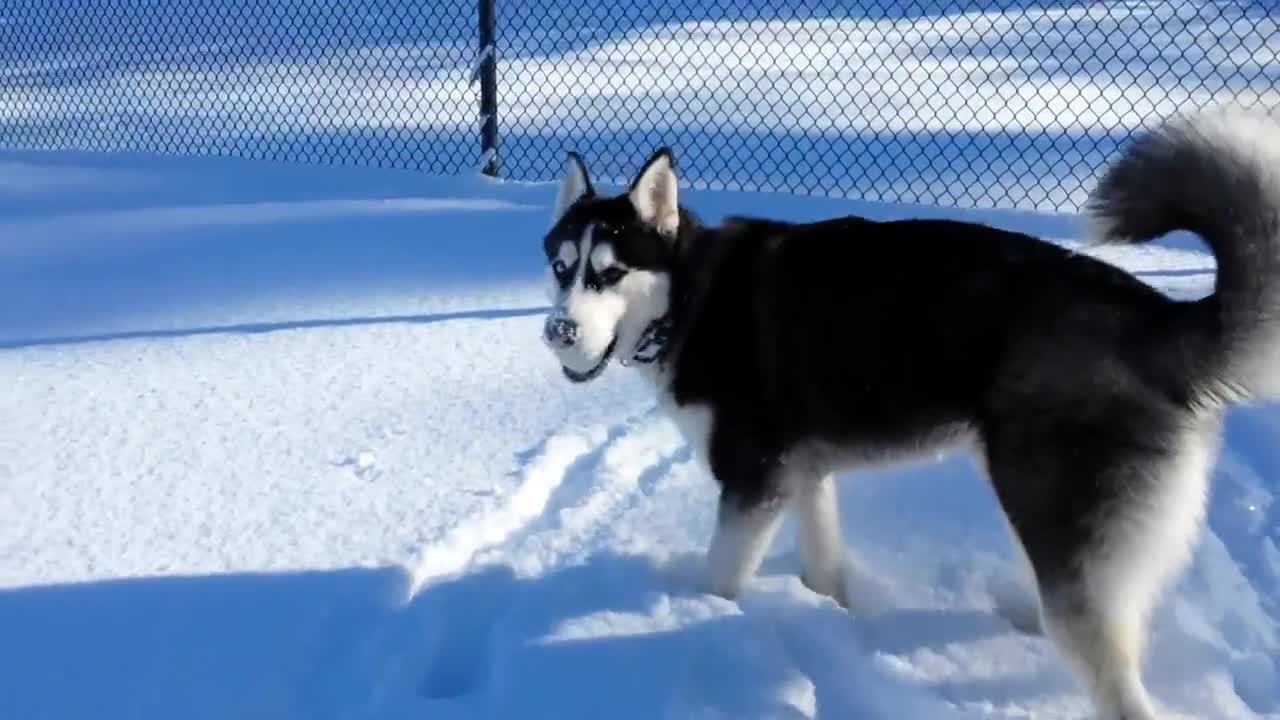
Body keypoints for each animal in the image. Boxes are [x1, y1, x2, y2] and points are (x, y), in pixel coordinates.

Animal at [535, 106, 1280, 717]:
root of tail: (1154, 314)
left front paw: (698, 616)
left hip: (1052, 507)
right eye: (562, 267)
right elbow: (824, 563)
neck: (692, 296)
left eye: (610, 273)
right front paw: (835, 613)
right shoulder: (800, 473)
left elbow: (721, 577)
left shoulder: (753, 478)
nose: (558, 333)